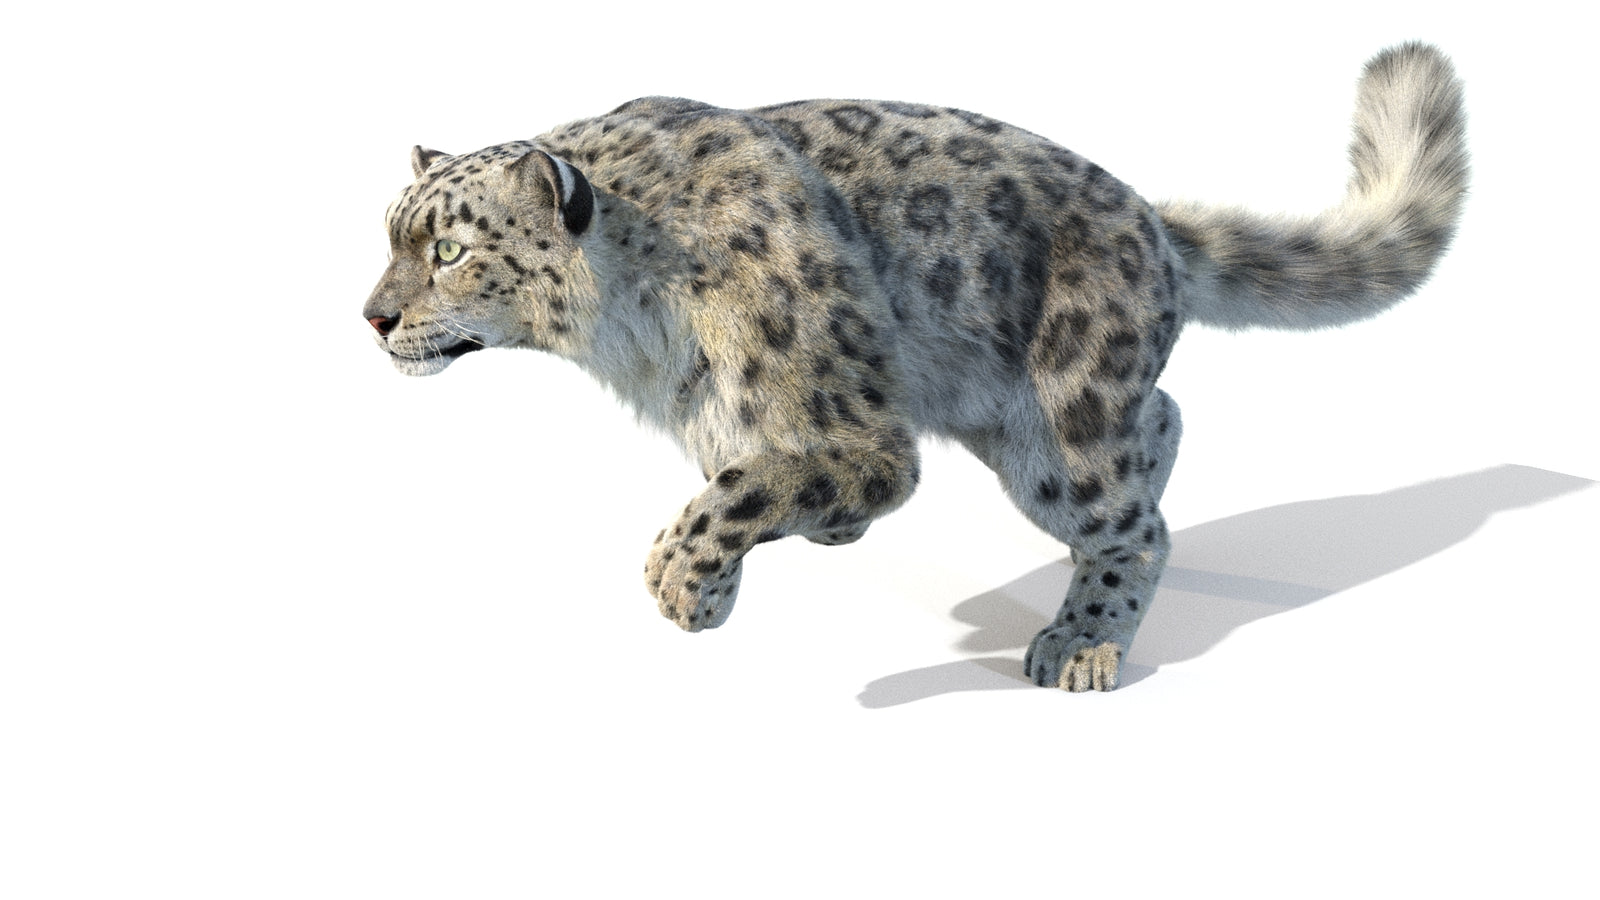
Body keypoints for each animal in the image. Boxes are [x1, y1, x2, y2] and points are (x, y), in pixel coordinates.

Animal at [363, 43, 1468, 691]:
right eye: (391, 234)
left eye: (449, 250)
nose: (373, 317)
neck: (637, 336)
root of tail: (1151, 221)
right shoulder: (721, 416)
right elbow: (748, 480)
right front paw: (719, 587)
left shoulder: (857, 433)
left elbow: (746, 490)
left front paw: (679, 582)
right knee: (1163, 422)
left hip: (1059, 431)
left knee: (1135, 519)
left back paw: (1083, 644)